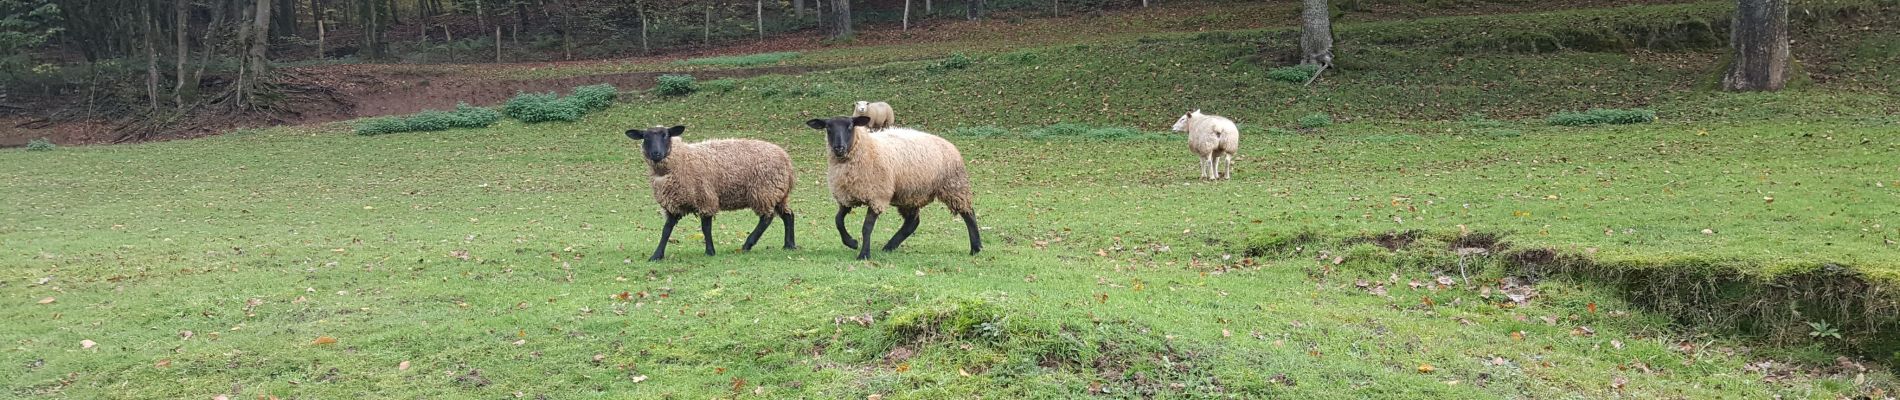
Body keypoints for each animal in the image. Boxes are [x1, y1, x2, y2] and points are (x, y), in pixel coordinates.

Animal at [627, 126, 798, 261]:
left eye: (666, 135)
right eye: (645, 137)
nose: (656, 153)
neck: (681, 159)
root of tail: (786, 159)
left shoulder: (705, 197)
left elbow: (706, 227)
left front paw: (710, 251)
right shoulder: (674, 204)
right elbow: (666, 229)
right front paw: (657, 255)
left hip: (764, 191)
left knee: (766, 218)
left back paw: (747, 244)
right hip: (778, 193)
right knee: (788, 215)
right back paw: (789, 245)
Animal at [801, 114, 980, 259]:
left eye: (850, 126)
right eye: (828, 128)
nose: (839, 148)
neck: (865, 148)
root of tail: (948, 143)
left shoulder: (877, 196)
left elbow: (866, 228)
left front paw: (864, 254)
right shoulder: (847, 196)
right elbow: (838, 220)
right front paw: (851, 242)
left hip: (954, 186)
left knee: (969, 214)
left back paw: (976, 248)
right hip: (910, 193)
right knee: (912, 222)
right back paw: (889, 246)